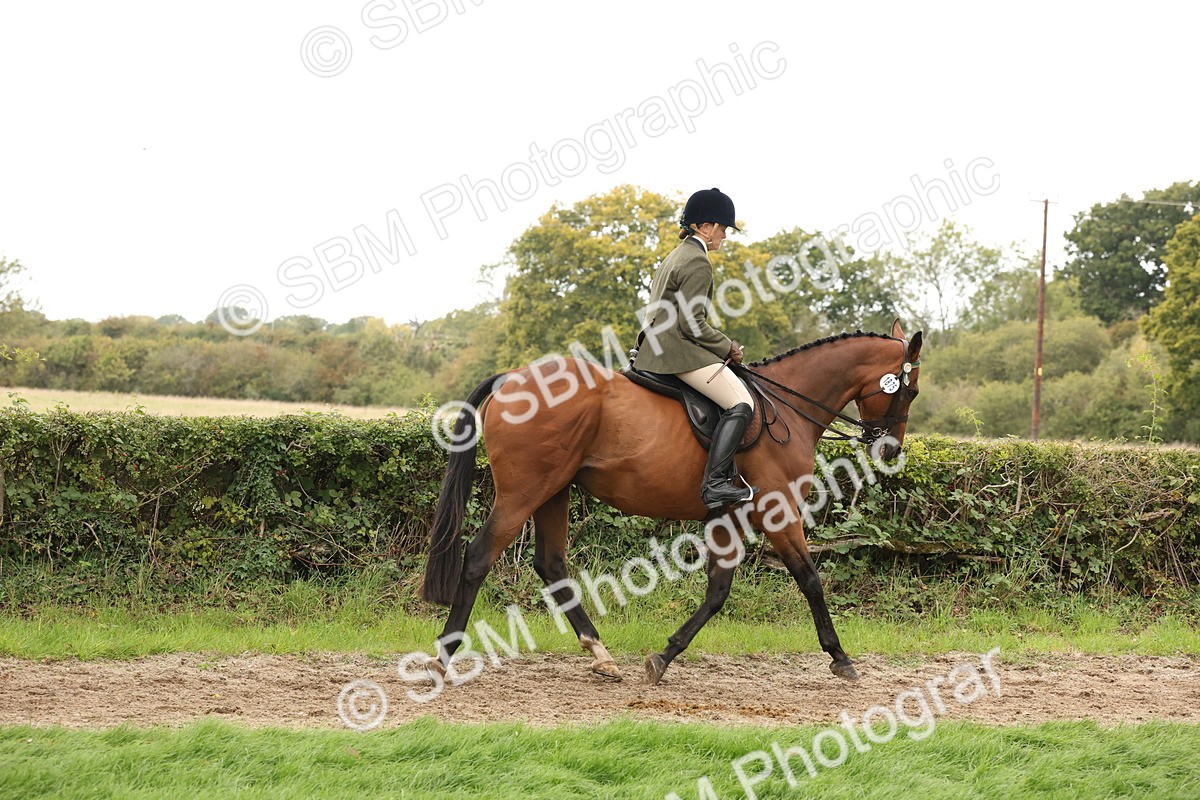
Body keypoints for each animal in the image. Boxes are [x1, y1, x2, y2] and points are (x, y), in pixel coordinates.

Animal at [421, 320, 923, 684]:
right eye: (910, 390)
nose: (889, 450)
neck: (786, 408)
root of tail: (513, 376)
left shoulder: (730, 518)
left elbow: (718, 591)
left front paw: (663, 657)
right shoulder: (777, 511)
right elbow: (810, 579)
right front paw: (840, 657)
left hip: (553, 492)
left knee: (551, 564)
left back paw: (601, 655)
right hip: (524, 492)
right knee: (479, 557)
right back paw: (444, 657)